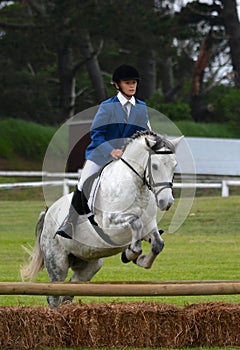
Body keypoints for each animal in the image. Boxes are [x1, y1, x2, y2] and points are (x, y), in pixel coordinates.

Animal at [20, 130, 182, 308]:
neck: (136, 186)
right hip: (57, 262)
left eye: (174, 166)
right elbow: (135, 224)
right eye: (155, 166)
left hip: (89, 265)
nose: (167, 202)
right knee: (54, 296)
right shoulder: (110, 223)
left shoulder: (149, 227)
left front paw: (140, 260)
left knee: (69, 292)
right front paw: (131, 253)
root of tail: (48, 213)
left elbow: (158, 244)